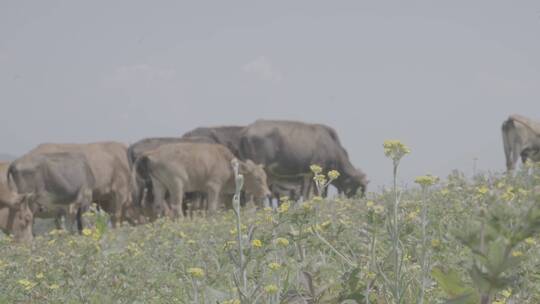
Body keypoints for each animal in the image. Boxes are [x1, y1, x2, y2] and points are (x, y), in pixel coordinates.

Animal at [133, 142, 272, 218]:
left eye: (265, 177)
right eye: (258, 178)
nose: (267, 194)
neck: (227, 164)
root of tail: (153, 153)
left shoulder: (220, 193)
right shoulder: (213, 187)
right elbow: (212, 208)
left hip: (159, 184)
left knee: (157, 206)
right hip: (176, 185)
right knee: (176, 207)